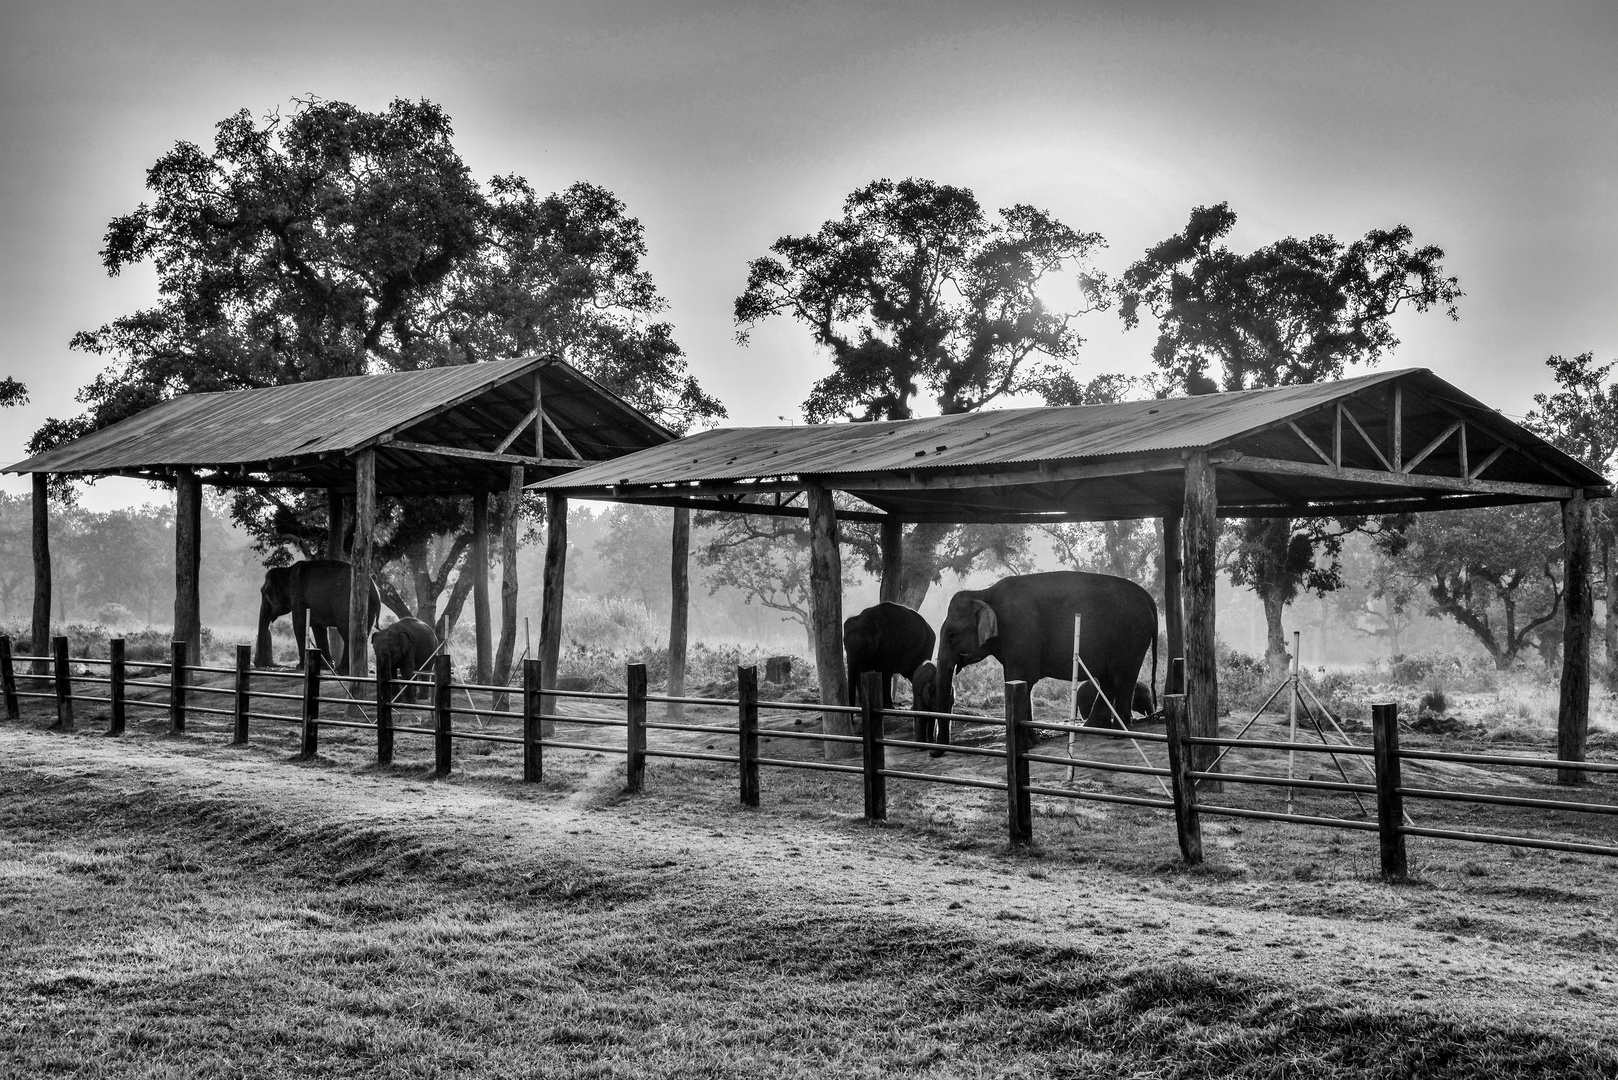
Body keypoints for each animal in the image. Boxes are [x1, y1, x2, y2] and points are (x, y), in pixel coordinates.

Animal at [931, 569, 1158, 757]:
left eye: (951, 635)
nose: (935, 753)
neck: (984, 594)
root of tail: (1148, 597)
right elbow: (1023, 683)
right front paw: (1034, 740)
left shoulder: (1020, 630)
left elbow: (1018, 677)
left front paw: (1025, 743)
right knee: (1108, 679)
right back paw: (1093, 727)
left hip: (1132, 636)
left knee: (1123, 677)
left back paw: (1117, 734)